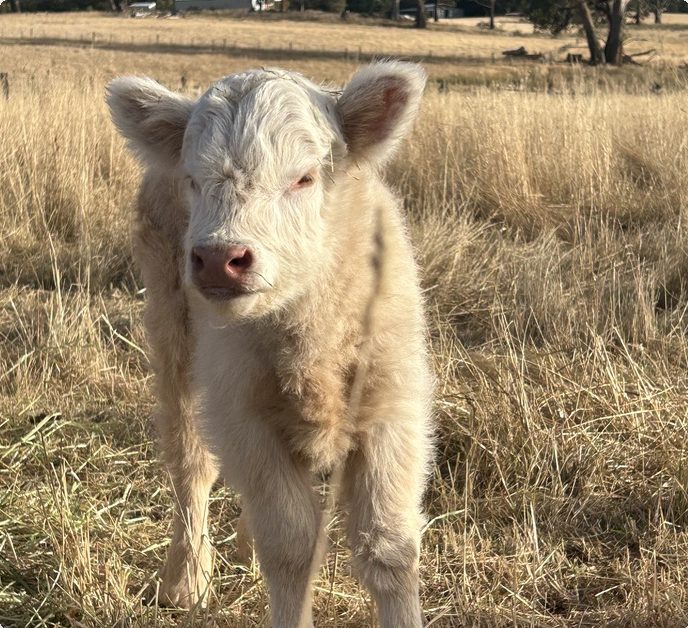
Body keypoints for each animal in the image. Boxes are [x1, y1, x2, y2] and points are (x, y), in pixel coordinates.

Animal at [107, 61, 434, 628]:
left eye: (304, 177)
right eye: (193, 180)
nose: (219, 259)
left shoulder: (394, 410)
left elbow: (389, 547)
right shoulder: (243, 415)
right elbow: (290, 546)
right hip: (173, 339)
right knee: (191, 463)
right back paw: (185, 579)